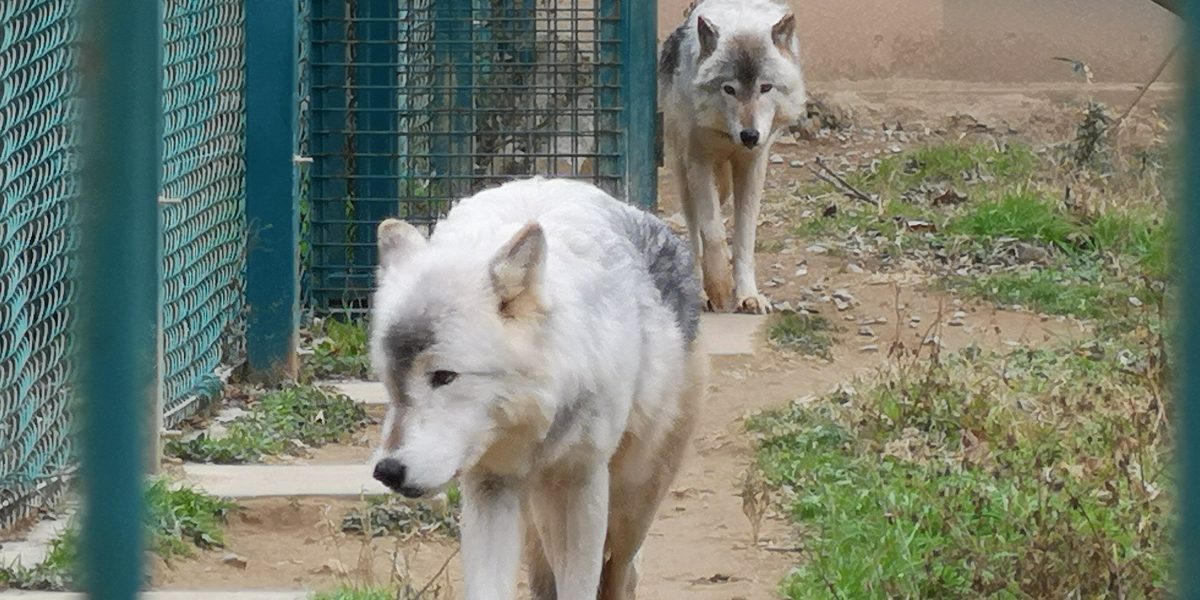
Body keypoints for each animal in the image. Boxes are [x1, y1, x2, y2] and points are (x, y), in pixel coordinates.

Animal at [364, 177, 700, 600]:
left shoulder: (582, 483)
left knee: (620, 570)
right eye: (389, 380)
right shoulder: (490, 486)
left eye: (444, 376)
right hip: (541, 515)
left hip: (631, 500)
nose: (387, 471)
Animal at [657, 0, 806, 316]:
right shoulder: (698, 162)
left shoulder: (752, 166)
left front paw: (748, 296)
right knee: (695, 232)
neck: (727, 137)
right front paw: (720, 287)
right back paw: (700, 291)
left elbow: (743, 240)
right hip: (683, 172)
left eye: (765, 87)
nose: (749, 135)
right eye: (729, 89)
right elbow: (713, 233)